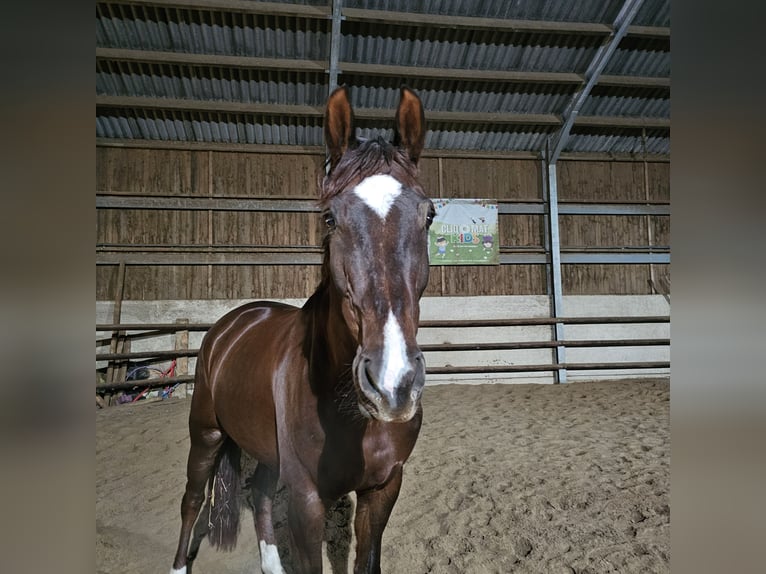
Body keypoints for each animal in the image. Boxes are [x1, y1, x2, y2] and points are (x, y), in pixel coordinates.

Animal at [172, 86, 436, 574]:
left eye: (428, 215)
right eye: (330, 217)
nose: (392, 383)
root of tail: (232, 323)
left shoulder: (383, 489)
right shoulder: (306, 501)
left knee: (258, 495)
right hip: (206, 433)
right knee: (192, 499)